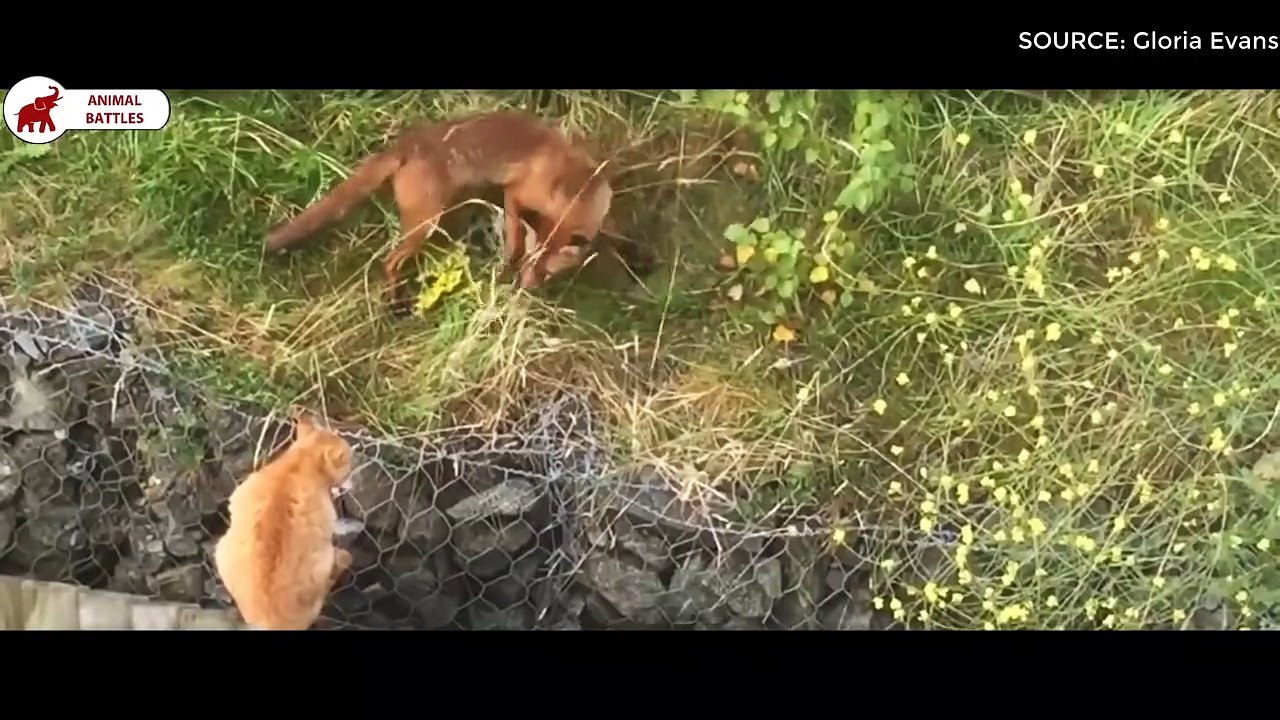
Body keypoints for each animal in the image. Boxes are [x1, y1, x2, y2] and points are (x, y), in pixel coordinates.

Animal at [262, 110, 615, 308]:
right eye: (532, 263)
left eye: (544, 270)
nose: (525, 289)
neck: (576, 187)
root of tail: (410, 143)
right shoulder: (515, 193)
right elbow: (514, 237)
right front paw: (504, 267)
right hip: (425, 223)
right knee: (390, 262)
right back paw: (394, 303)